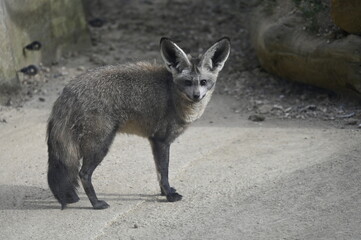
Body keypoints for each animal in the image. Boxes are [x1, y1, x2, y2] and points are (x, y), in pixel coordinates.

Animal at [47, 36, 231, 209]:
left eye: (203, 82)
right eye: (187, 82)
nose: (196, 96)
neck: (173, 95)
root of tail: (68, 90)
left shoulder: (154, 141)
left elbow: (159, 173)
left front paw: (165, 192)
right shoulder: (161, 140)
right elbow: (164, 172)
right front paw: (169, 196)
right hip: (100, 145)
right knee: (83, 174)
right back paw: (96, 204)